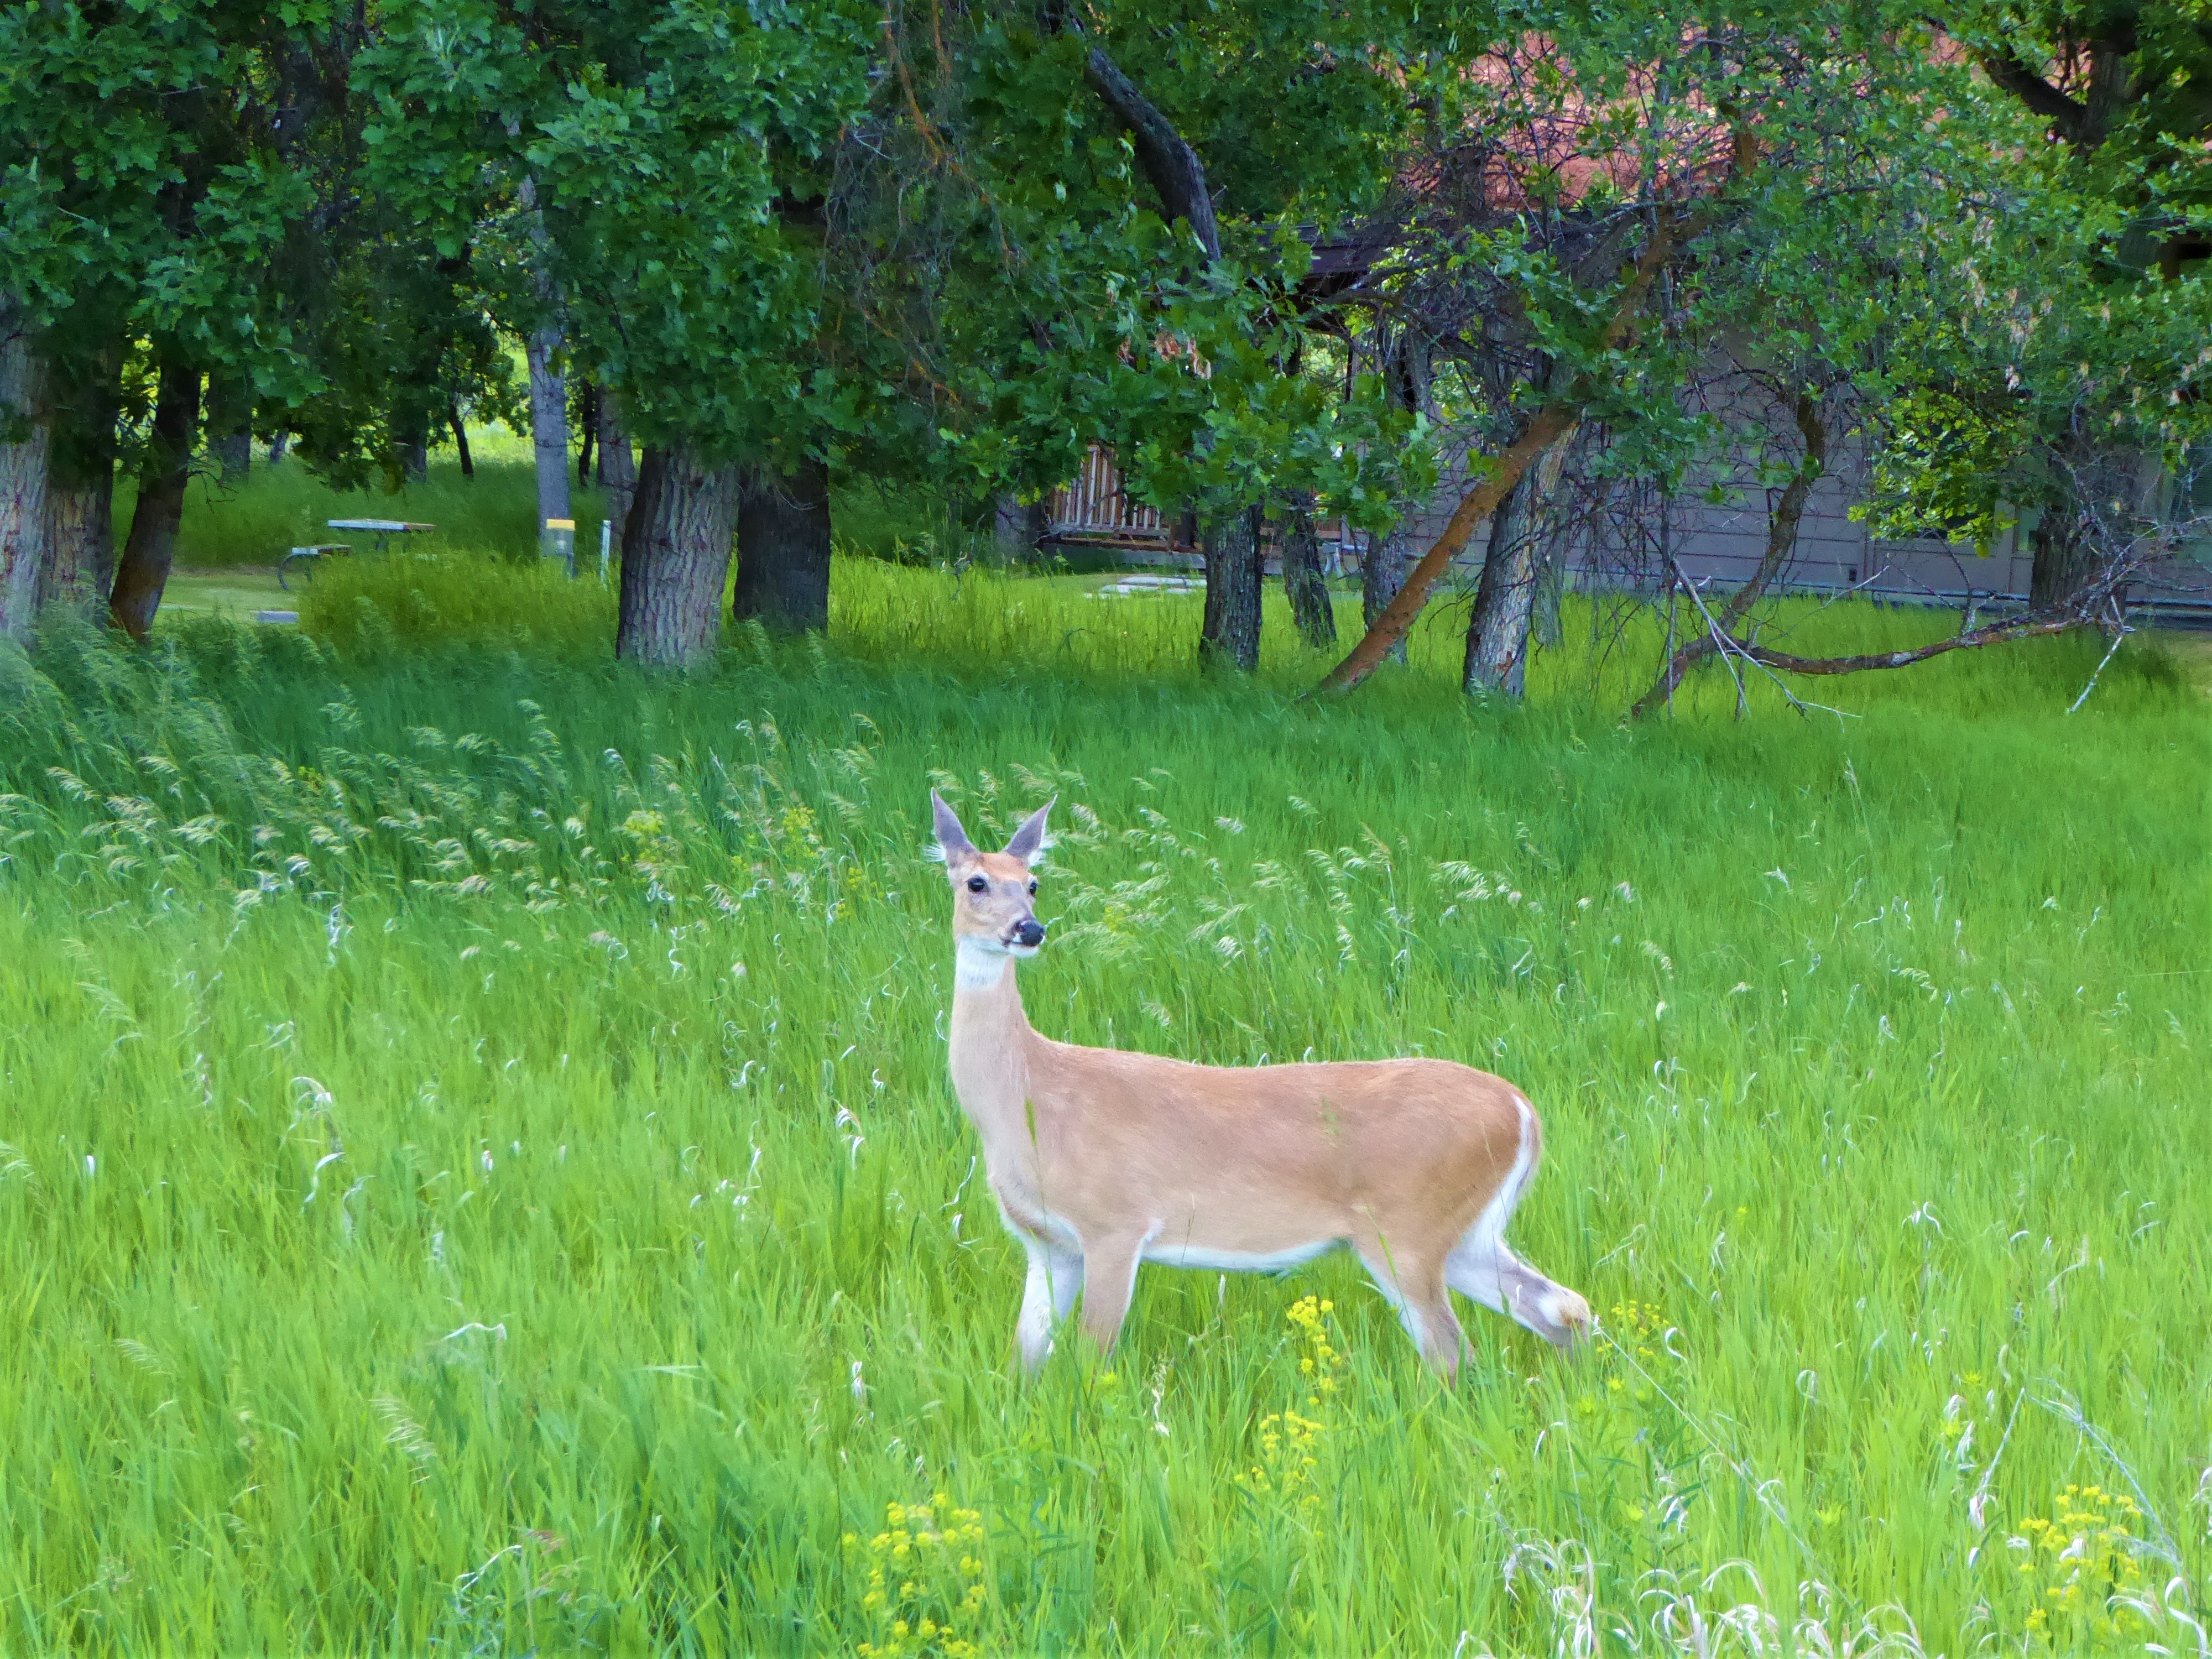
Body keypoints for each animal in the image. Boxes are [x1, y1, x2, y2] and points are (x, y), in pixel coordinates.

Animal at [933, 792, 1593, 1380]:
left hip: (1409, 1226)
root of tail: (1523, 1111)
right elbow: (1023, 1362)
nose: (1029, 929)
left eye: (1033, 882)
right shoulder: (1050, 1244)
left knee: (1453, 1352)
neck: (1032, 1099)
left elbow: (1094, 1365)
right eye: (975, 883)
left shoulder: (1115, 1223)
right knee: (1563, 1308)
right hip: (1468, 1234)